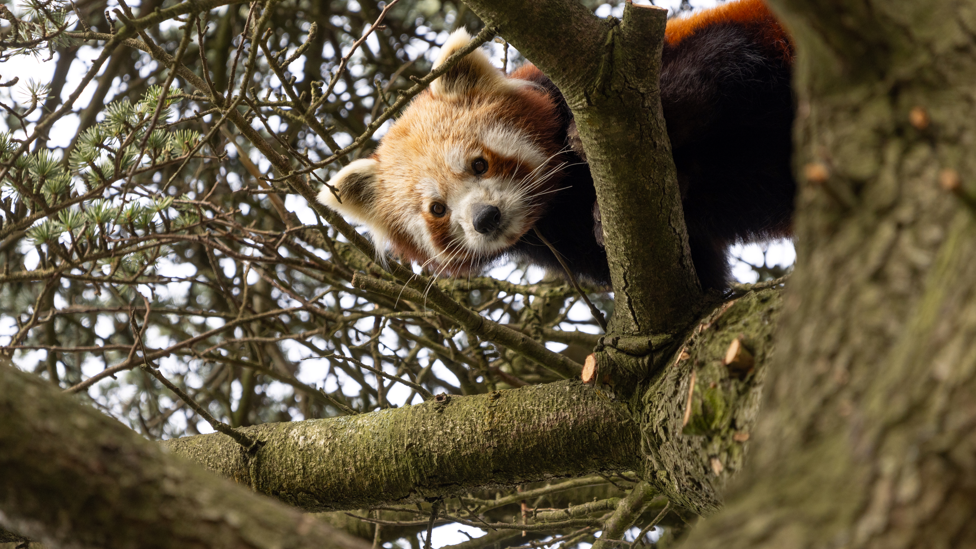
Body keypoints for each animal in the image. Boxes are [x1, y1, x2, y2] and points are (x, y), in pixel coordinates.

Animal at [318, 0, 792, 292]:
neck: (565, 199)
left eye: (479, 164)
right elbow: (697, 266)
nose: (485, 218)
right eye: (436, 209)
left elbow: (702, 72)